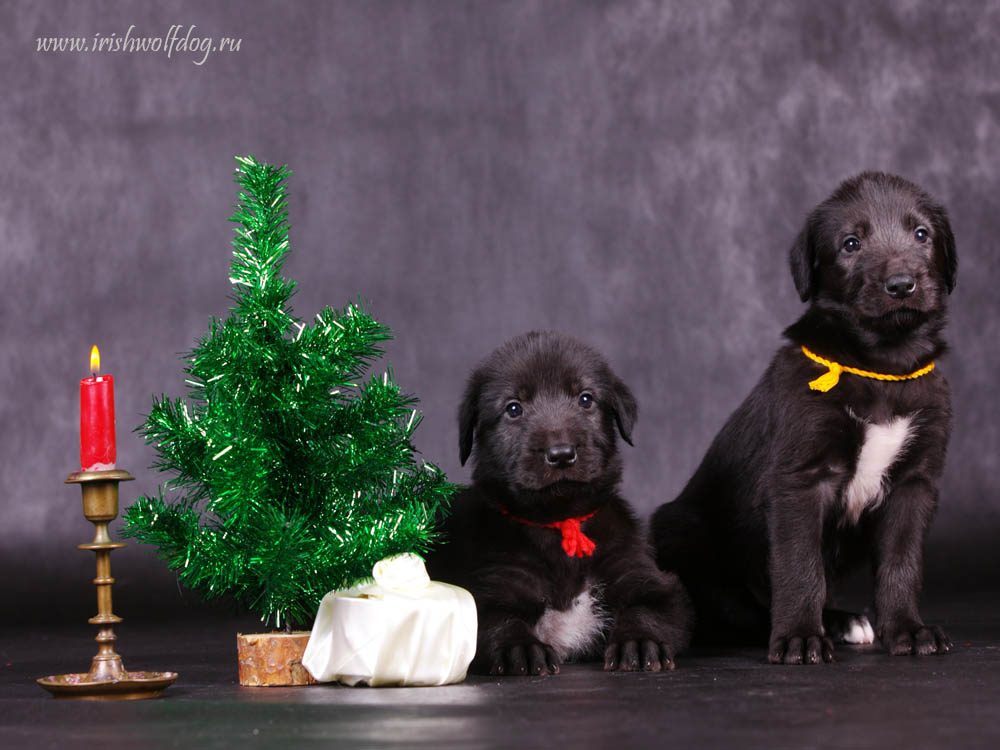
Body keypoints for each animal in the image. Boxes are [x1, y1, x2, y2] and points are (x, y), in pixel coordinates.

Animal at [426, 334, 692, 676]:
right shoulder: (492, 587)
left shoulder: (646, 576)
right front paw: (520, 649)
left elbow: (648, 609)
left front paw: (640, 642)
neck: (561, 522)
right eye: (514, 408)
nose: (561, 454)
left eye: (585, 399)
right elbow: (499, 622)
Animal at [652, 173, 956, 668]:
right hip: (680, 529)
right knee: (733, 609)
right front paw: (799, 637)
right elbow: (799, 564)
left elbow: (902, 561)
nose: (901, 284)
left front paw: (908, 629)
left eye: (921, 234)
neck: (882, 365)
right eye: (851, 243)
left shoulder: (915, 481)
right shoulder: (800, 478)